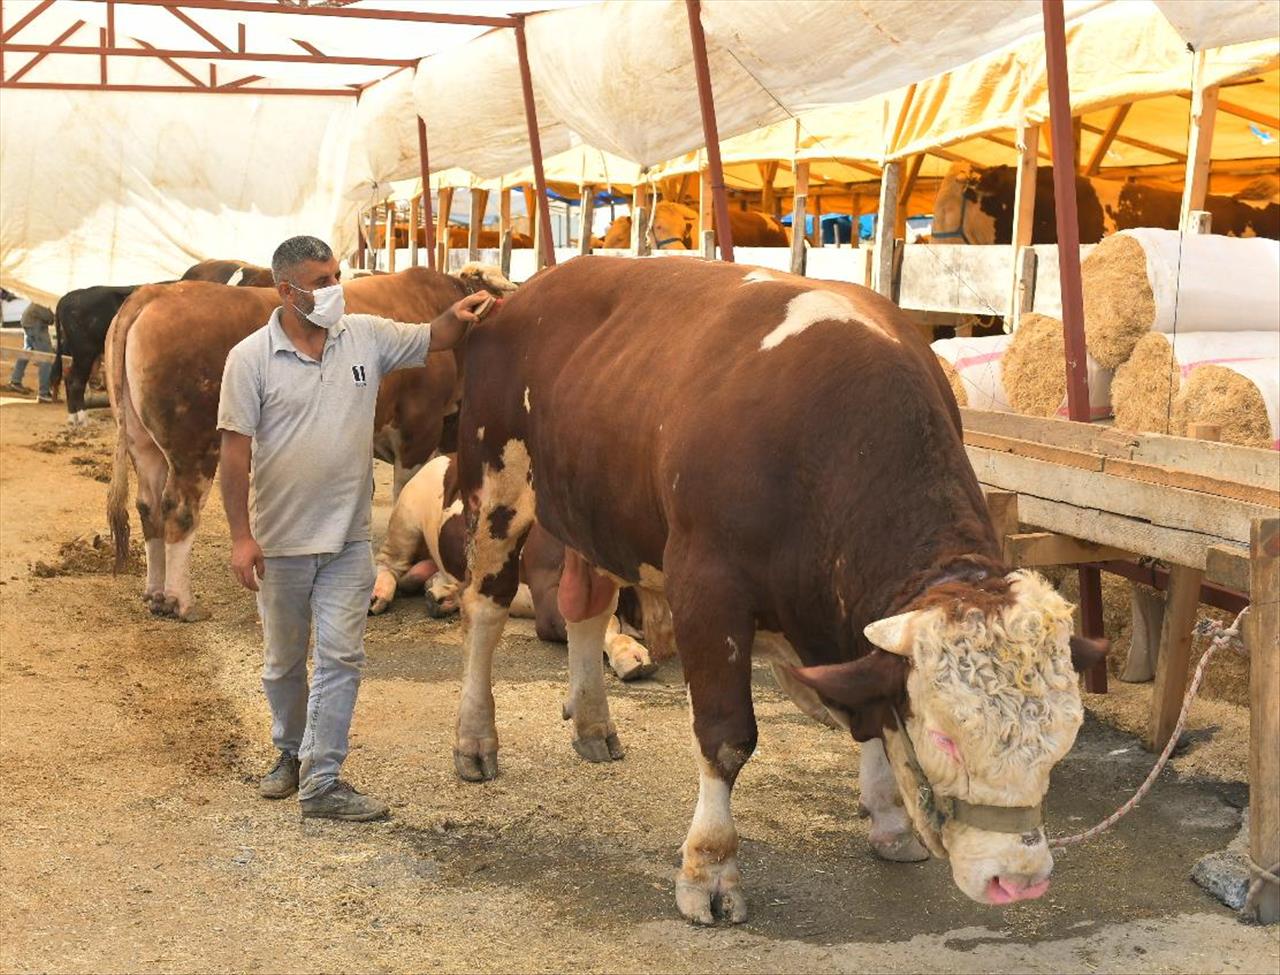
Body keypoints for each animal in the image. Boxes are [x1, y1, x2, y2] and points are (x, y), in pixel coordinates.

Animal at [107, 262, 509, 619]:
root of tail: (156, 292)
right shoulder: (418, 431)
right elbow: (403, 497)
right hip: (194, 446)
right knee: (178, 509)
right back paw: (181, 602)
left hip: (144, 445)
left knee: (148, 507)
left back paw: (156, 594)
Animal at [371, 452, 665, 680]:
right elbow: (605, 624)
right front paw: (629, 654)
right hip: (407, 515)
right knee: (388, 563)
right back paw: (379, 594)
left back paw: (441, 596)